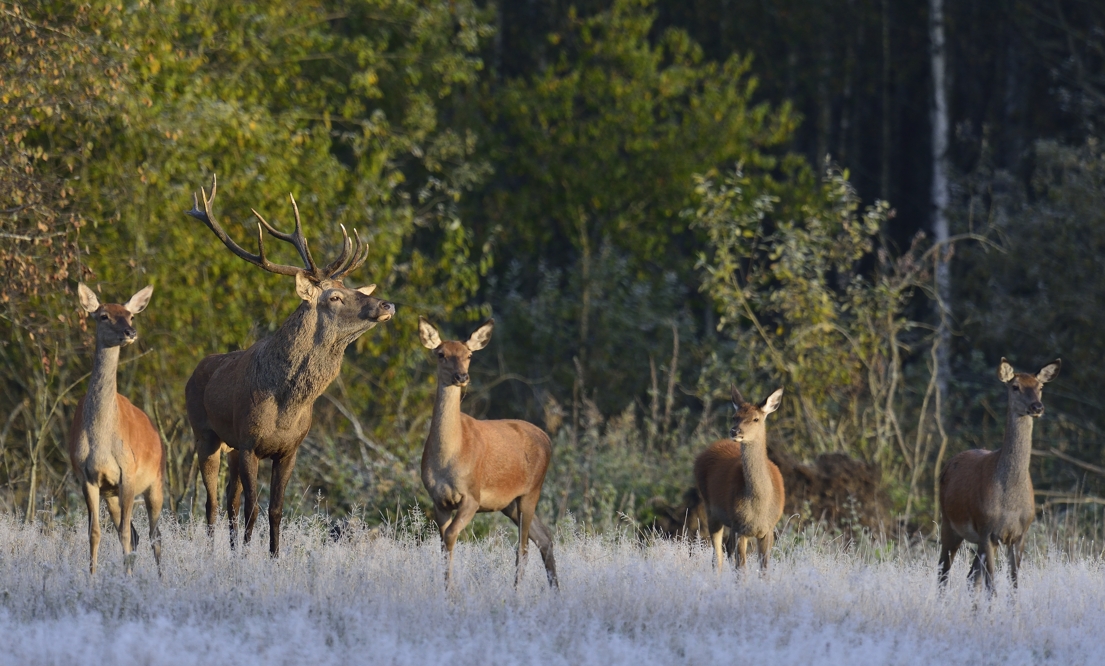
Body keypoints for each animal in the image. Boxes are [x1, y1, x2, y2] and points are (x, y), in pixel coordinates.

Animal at [67, 284, 163, 574]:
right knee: (137, 534)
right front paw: (92, 577)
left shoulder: (128, 472)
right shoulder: (87, 476)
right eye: (103, 316)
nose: (130, 333)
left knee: (154, 535)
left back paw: (161, 578)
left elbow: (122, 534)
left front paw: (126, 579)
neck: (100, 438)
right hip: (111, 494)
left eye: (130, 316)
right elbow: (95, 532)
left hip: (156, 480)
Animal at [185, 175, 397, 556]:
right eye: (335, 297)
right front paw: (247, 559)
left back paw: (232, 549)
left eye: (353, 287)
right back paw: (212, 552)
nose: (386, 304)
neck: (286, 405)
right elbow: (254, 507)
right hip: (205, 433)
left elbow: (276, 509)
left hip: (230, 446)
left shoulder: (289, 449)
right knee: (211, 502)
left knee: (230, 501)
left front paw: (272, 556)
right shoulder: (250, 443)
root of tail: (197, 370)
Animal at [415, 318, 556, 587]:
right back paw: (556, 591)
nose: (461, 376)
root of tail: (547, 438)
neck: (449, 457)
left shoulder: (472, 495)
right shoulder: (438, 499)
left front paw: (451, 591)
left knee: (523, 548)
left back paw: (517, 592)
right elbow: (443, 544)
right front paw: (445, 589)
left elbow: (451, 536)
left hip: (531, 490)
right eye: (441, 354)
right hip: (509, 502)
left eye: (469, 355)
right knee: (544, 536)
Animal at [689, 386, 786, 574]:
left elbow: (764, 570)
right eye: (735, 416)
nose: (735, 431)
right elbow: (741, 570)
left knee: (727, 549)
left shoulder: (768, 529)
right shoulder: (740, 527)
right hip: (711, 509)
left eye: (756, 418)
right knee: (717, 557)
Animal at [937, 360, 1056, 592]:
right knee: (942, 574)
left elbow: (1013, 585)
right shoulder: (986, 531)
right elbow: (992, 587)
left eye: (1040, 387)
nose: (1037, 407)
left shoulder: (1019, 535)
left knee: (970, 577)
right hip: (948, 523)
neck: (1009, 503)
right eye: (1015, 386)